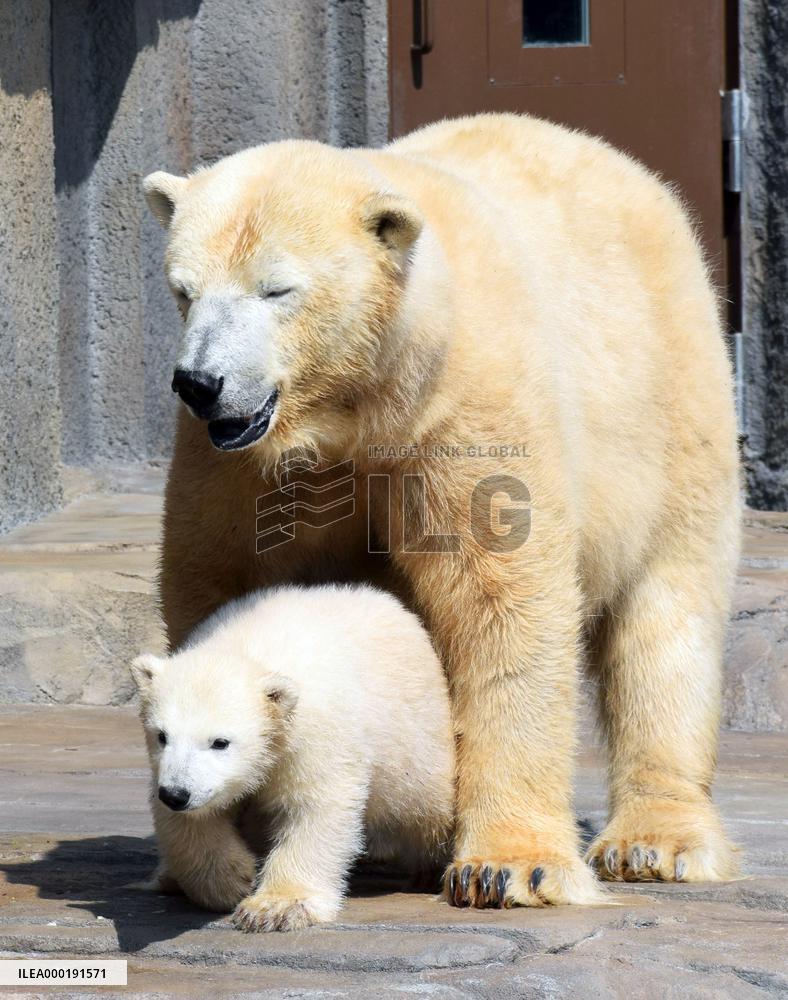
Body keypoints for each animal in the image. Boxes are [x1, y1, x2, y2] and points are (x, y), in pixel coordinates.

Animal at [130, 584, 456, 931]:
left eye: (220, 742)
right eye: (162, 735)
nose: (177, 794)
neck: (246, 650)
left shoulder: (315, 730)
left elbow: (314, 806)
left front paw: (275, 908)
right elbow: (190, 821)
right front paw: (232, 879)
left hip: (413, 738)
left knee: (428, 806)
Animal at [143, 111, 741, 907]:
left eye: (276, 289)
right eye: (183, 290)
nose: (200, 382)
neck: (359, 406)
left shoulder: (466, 410)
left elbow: (502, 600)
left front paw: (510, 866)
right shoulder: (242, 465)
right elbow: (219, 581)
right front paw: (207, 852)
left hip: (670, 394)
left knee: (669, 610)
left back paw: (656, 842)